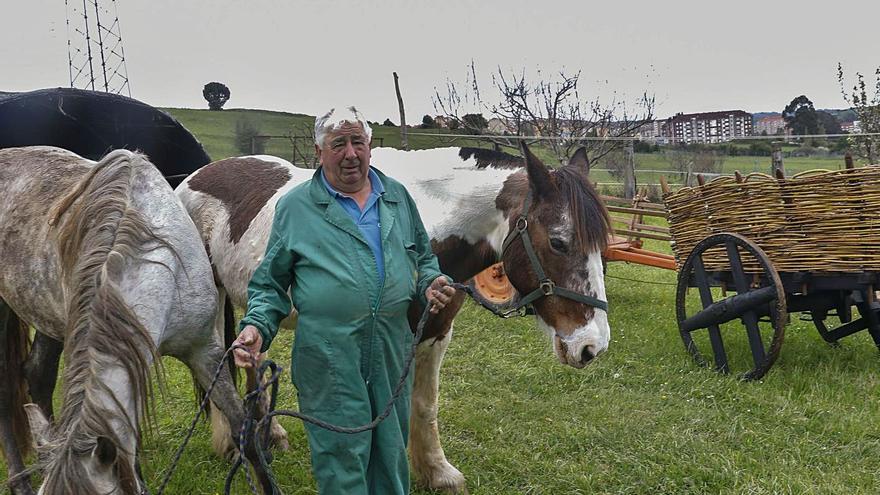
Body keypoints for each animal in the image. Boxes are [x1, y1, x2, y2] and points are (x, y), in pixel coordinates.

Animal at [174, 142, 612, 492]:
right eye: (558, 242)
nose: (592, 345)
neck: (427, 225)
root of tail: (194, 177)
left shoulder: (436, 331)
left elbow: (425, 405)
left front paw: (437, 472)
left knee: (253, 359)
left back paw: (271, 434)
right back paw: (233, 442)